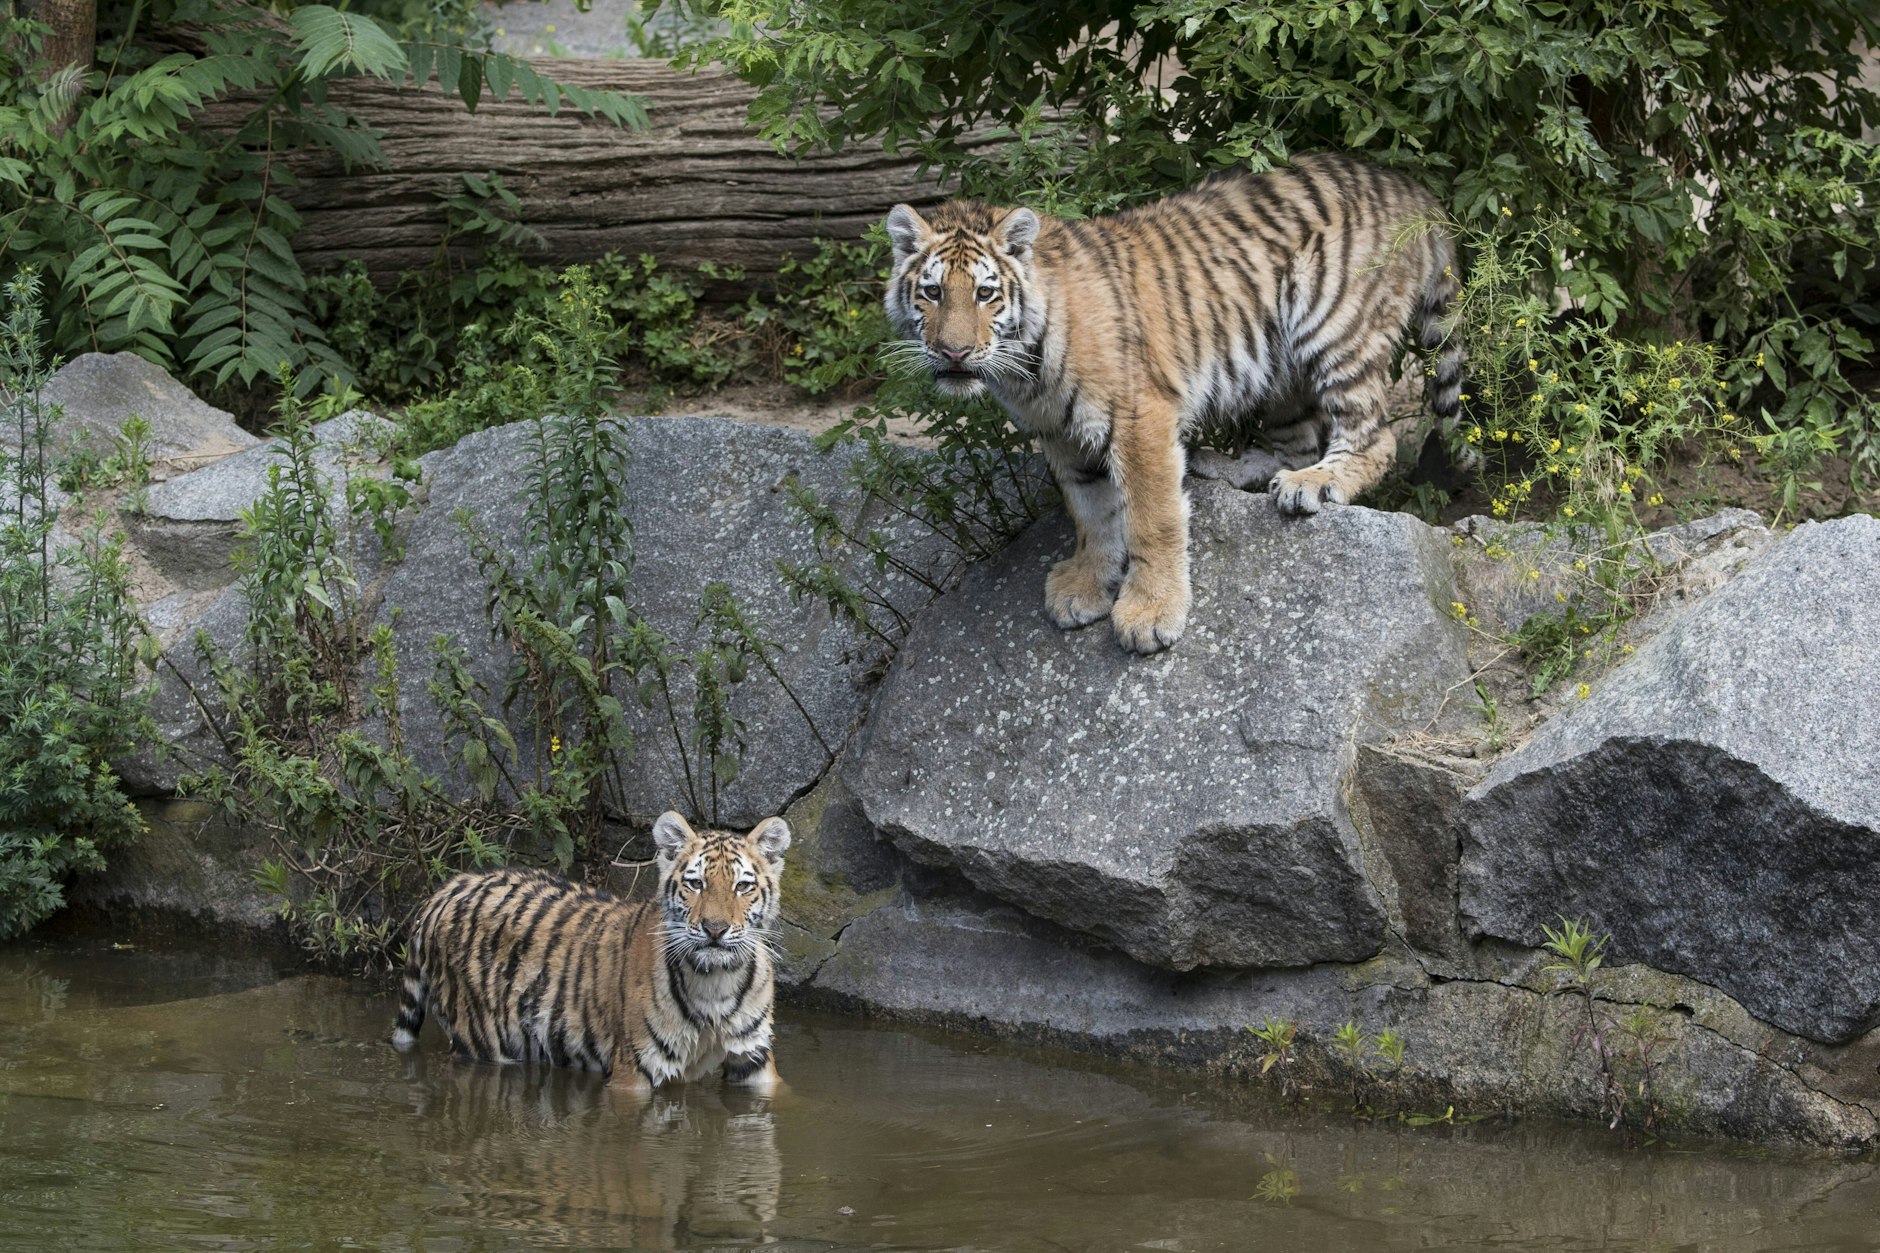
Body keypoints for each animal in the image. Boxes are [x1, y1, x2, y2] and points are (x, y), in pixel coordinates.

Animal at [390, 810, 791, 1095]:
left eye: (742, 887)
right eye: (695, 884)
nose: (715, 929)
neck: (717, 980)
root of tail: (450, 887)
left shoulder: (754, 1062)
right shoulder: (634, 1071)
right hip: (481, 1039)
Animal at [884, 153, 1463, 655]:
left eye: (985, 294)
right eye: (933, 293)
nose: (953, 352)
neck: (1024, 369)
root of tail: (1407, 184)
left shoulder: (1139, 417)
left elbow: (1151, 517)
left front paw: (1151, 612)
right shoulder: (1060, 434)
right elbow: (1090, 512)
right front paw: (1085, 585)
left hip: (1333, 322)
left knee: (1374, 437)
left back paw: (1314, 483)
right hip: (1280, 370)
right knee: (1296, 442)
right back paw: (1235, 468)